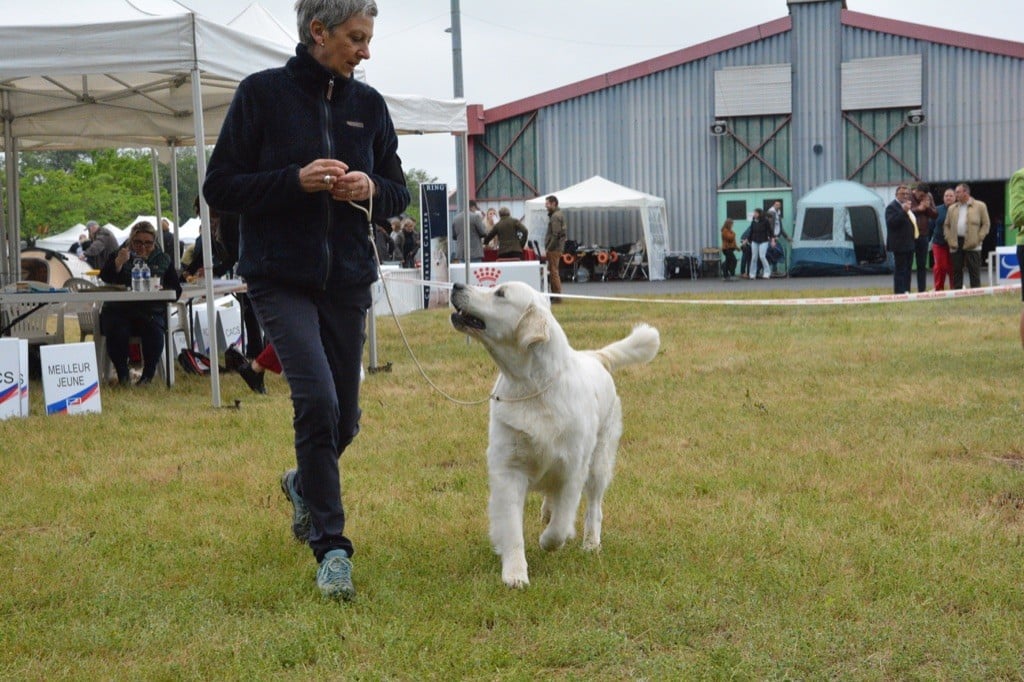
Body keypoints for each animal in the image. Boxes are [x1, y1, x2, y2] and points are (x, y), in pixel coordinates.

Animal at [450, 278, 659, 585]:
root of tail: (594, 356)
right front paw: (515, 573)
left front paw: (549, 541)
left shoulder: (573, 469)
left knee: (593, 507)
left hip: (598, 464)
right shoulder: (508, 469)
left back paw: (590, 543)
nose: (455, 285)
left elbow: (560, 525)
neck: (532, 387)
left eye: (500, 293)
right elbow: (511, 527)